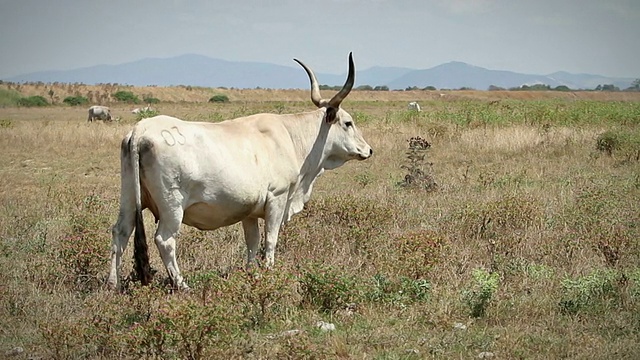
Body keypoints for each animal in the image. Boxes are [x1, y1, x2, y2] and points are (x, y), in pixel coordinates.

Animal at [107, 52, 372, 290]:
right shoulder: (277, 199)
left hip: (129, 198)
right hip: (172, 206)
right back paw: (182, 285)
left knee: (121, 232)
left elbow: (252, 244)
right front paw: (269, 273)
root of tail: (142, 129)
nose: (368, 150)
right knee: (165, 240)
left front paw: (251, 274)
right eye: (348, 123)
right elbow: (271, 240)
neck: (291, 137)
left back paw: (113, 285)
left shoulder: (250, 212)